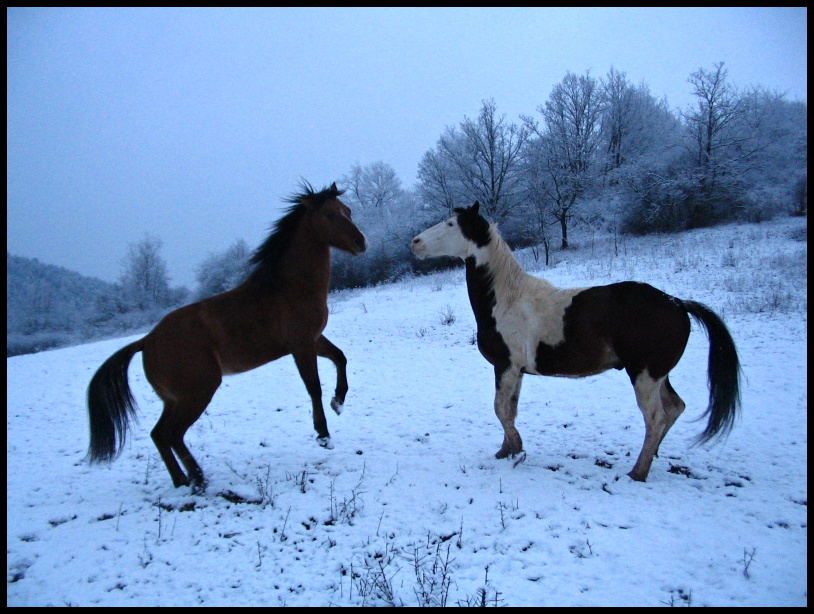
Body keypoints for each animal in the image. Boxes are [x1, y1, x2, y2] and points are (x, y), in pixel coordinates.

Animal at [87, 183, 368, 490]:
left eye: (348, 211)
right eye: (329, 214)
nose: (361, 243)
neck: (289, 288)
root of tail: (146, 341)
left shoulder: (314, 339)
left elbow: (340, 358)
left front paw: (338, 402)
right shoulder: (301, 344)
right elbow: (313, 387)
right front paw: (323, 435)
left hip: (174, 399)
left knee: (158, 434)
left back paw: (183, 481)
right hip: (199, 391)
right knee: (172, 434)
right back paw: (198, 479)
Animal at [412, 205, 744, 484]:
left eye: (451, 224)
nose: (414, 242)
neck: (507, 299)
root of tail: (677, 303)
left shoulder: (505, 366)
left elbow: (500, 409)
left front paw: (516, 448)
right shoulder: (516, 371)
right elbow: (510, 410)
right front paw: (506, 451)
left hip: (644, 375)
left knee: (655, 418)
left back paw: (637, 472)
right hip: (657, 374)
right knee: (674, 408)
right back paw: (652, 458)